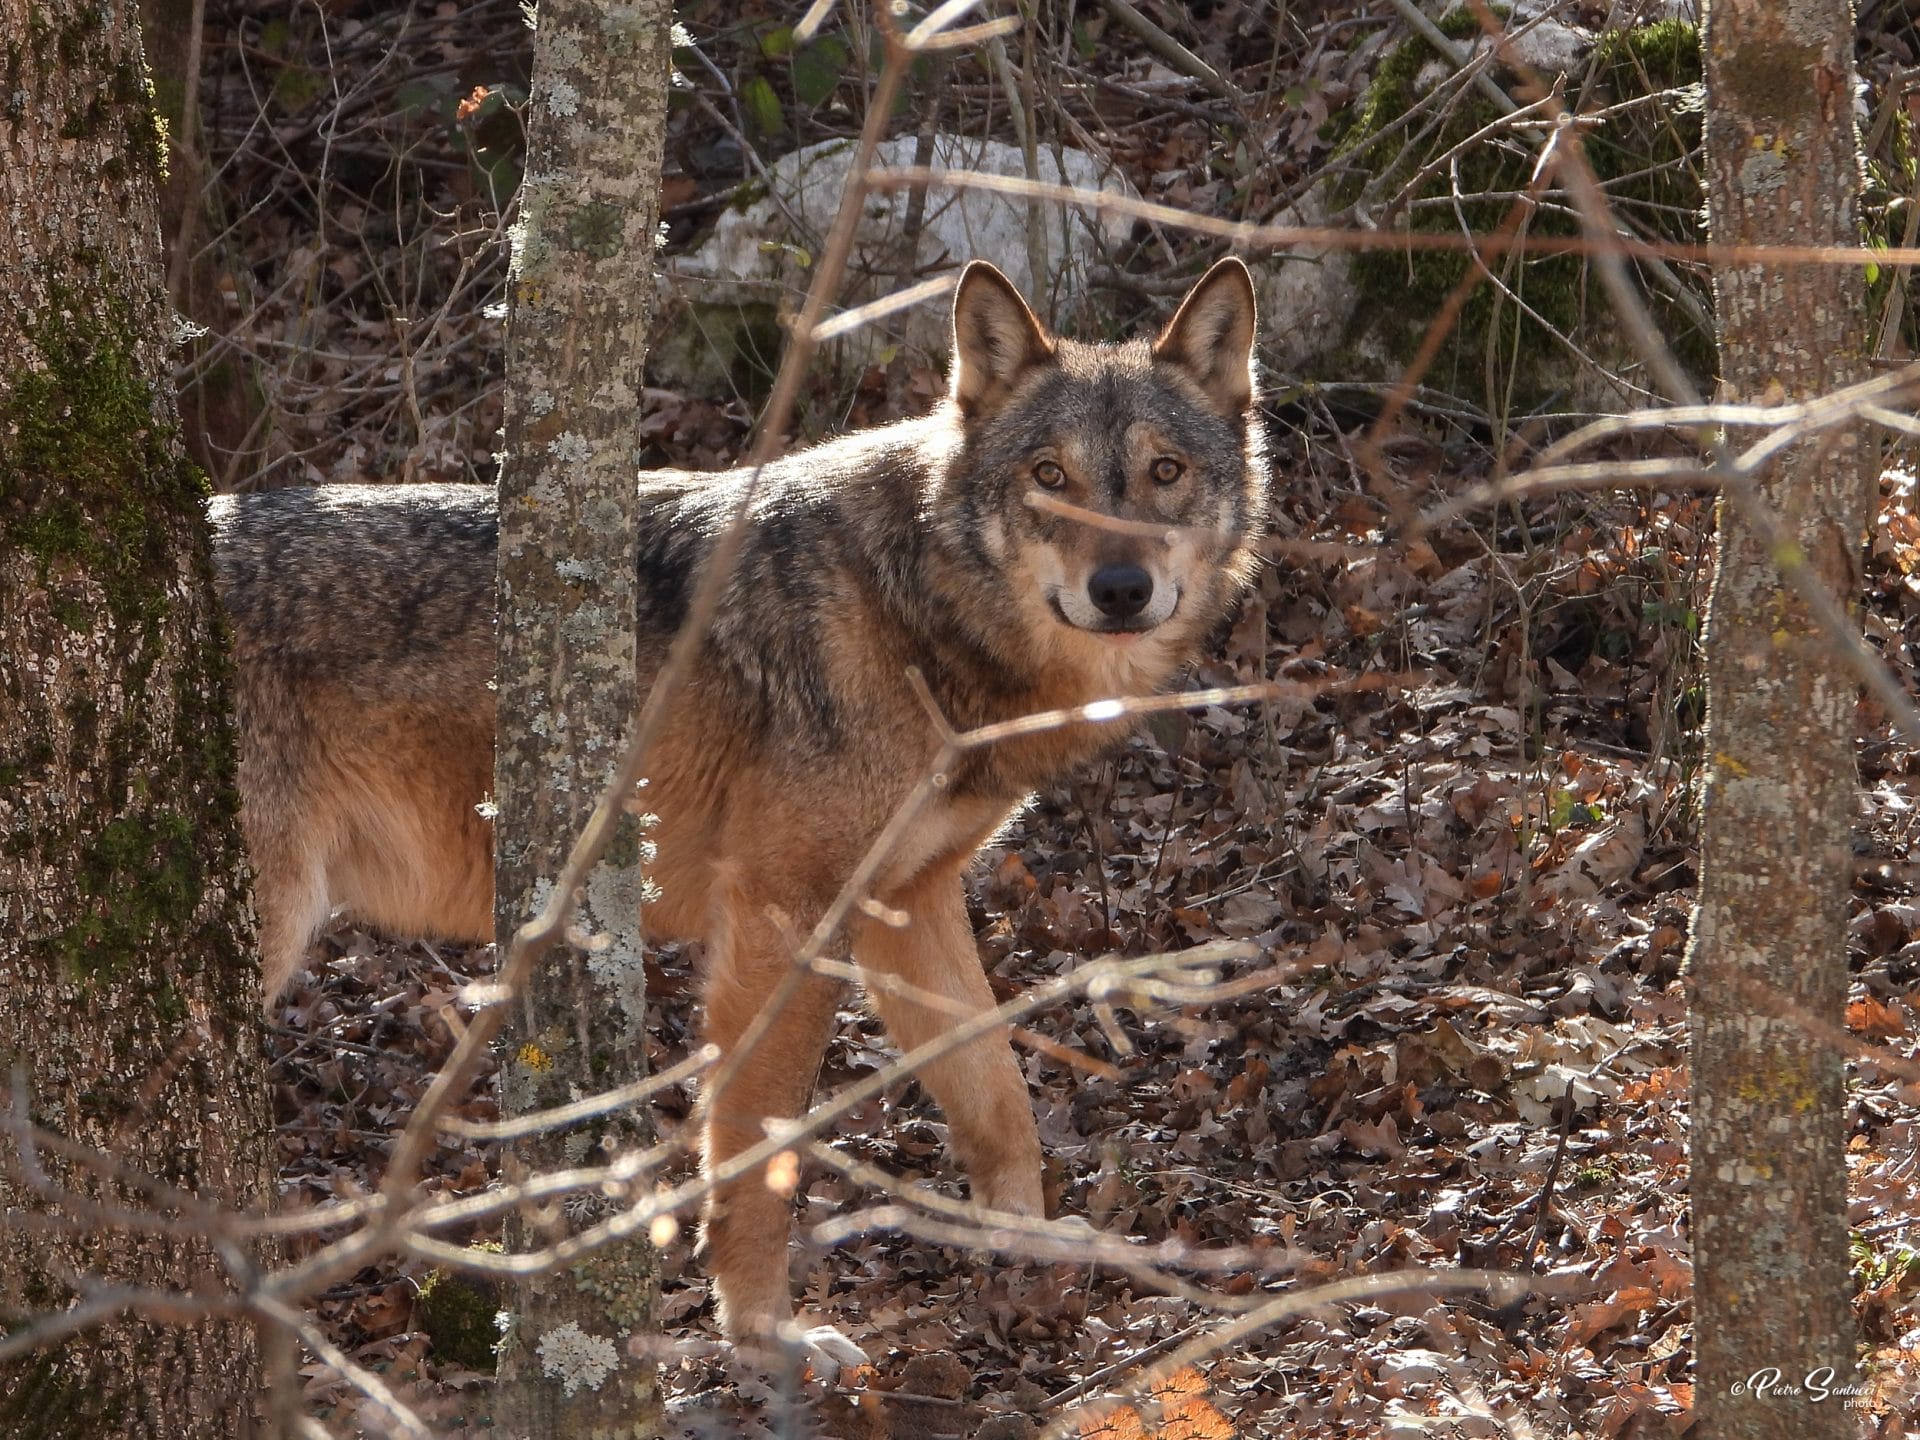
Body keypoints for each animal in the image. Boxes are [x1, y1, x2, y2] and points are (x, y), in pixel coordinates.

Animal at [210, 263, 1267, 1367]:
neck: (910, 615)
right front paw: (765, 1335)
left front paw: (1029, 1248)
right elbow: (758, 1155)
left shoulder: (908, 905)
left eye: (1163, 472)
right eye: (1050, 477)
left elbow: (997, 1096)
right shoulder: (780, 918)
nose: (1121, 588)